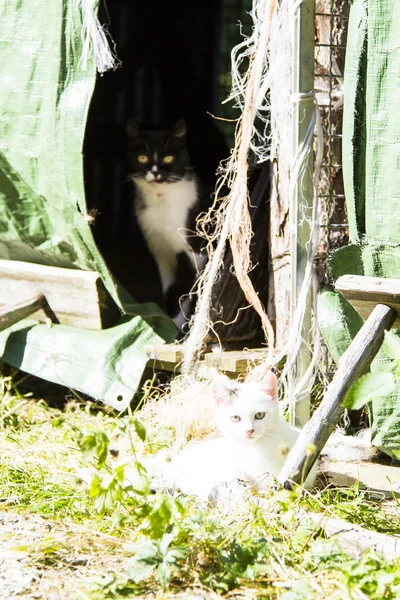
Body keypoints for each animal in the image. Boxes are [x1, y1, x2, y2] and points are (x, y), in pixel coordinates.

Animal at [127, 118, 209, 330]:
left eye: (169, 158)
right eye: (142, 158)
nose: (155, 172)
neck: (161, 203)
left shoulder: (196, 253)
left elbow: (188, 290)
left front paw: (178, 323)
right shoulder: (161, 252)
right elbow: (170, 288)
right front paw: (167, 319)